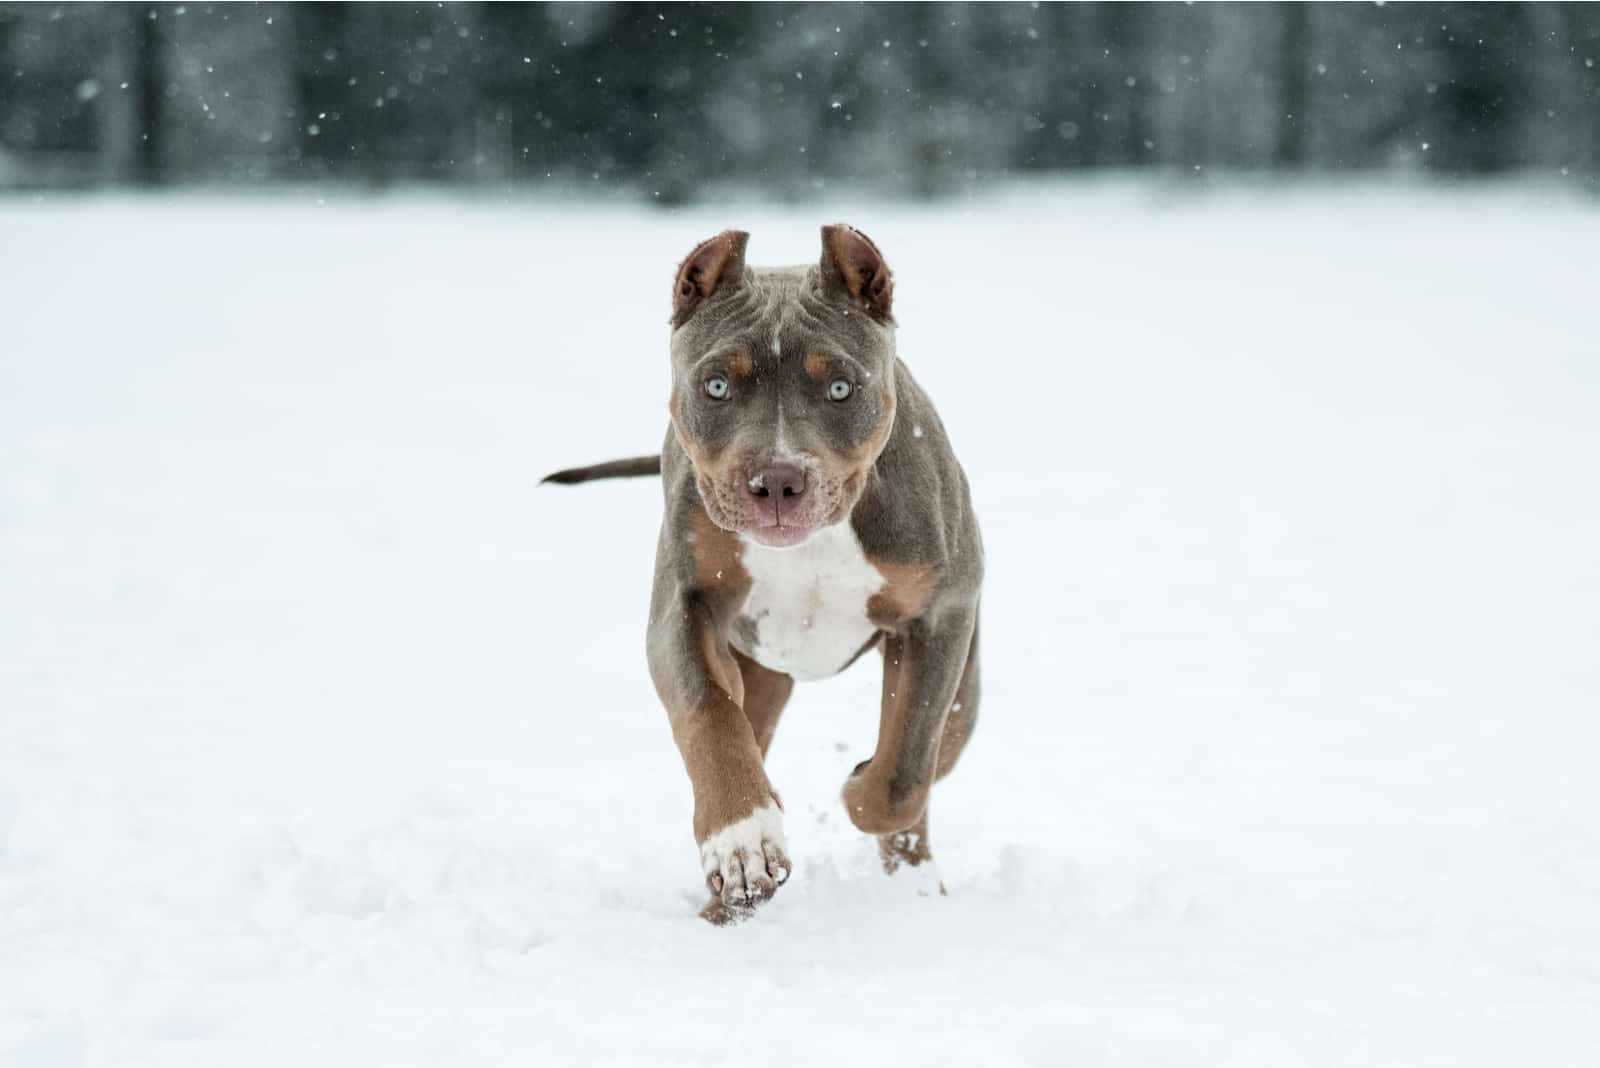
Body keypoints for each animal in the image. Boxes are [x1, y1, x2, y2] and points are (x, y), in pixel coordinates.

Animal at [544, 227, 979, 927]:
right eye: (718, 386)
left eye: (841, 389)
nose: (777, 480)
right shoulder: (685, 606)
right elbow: (710, 715)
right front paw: (744, 842)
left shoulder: (939, 616)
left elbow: (904, 768)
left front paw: (858, 790)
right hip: (760, 674)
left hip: (964, 674)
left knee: (940, 752)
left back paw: (915, 885)